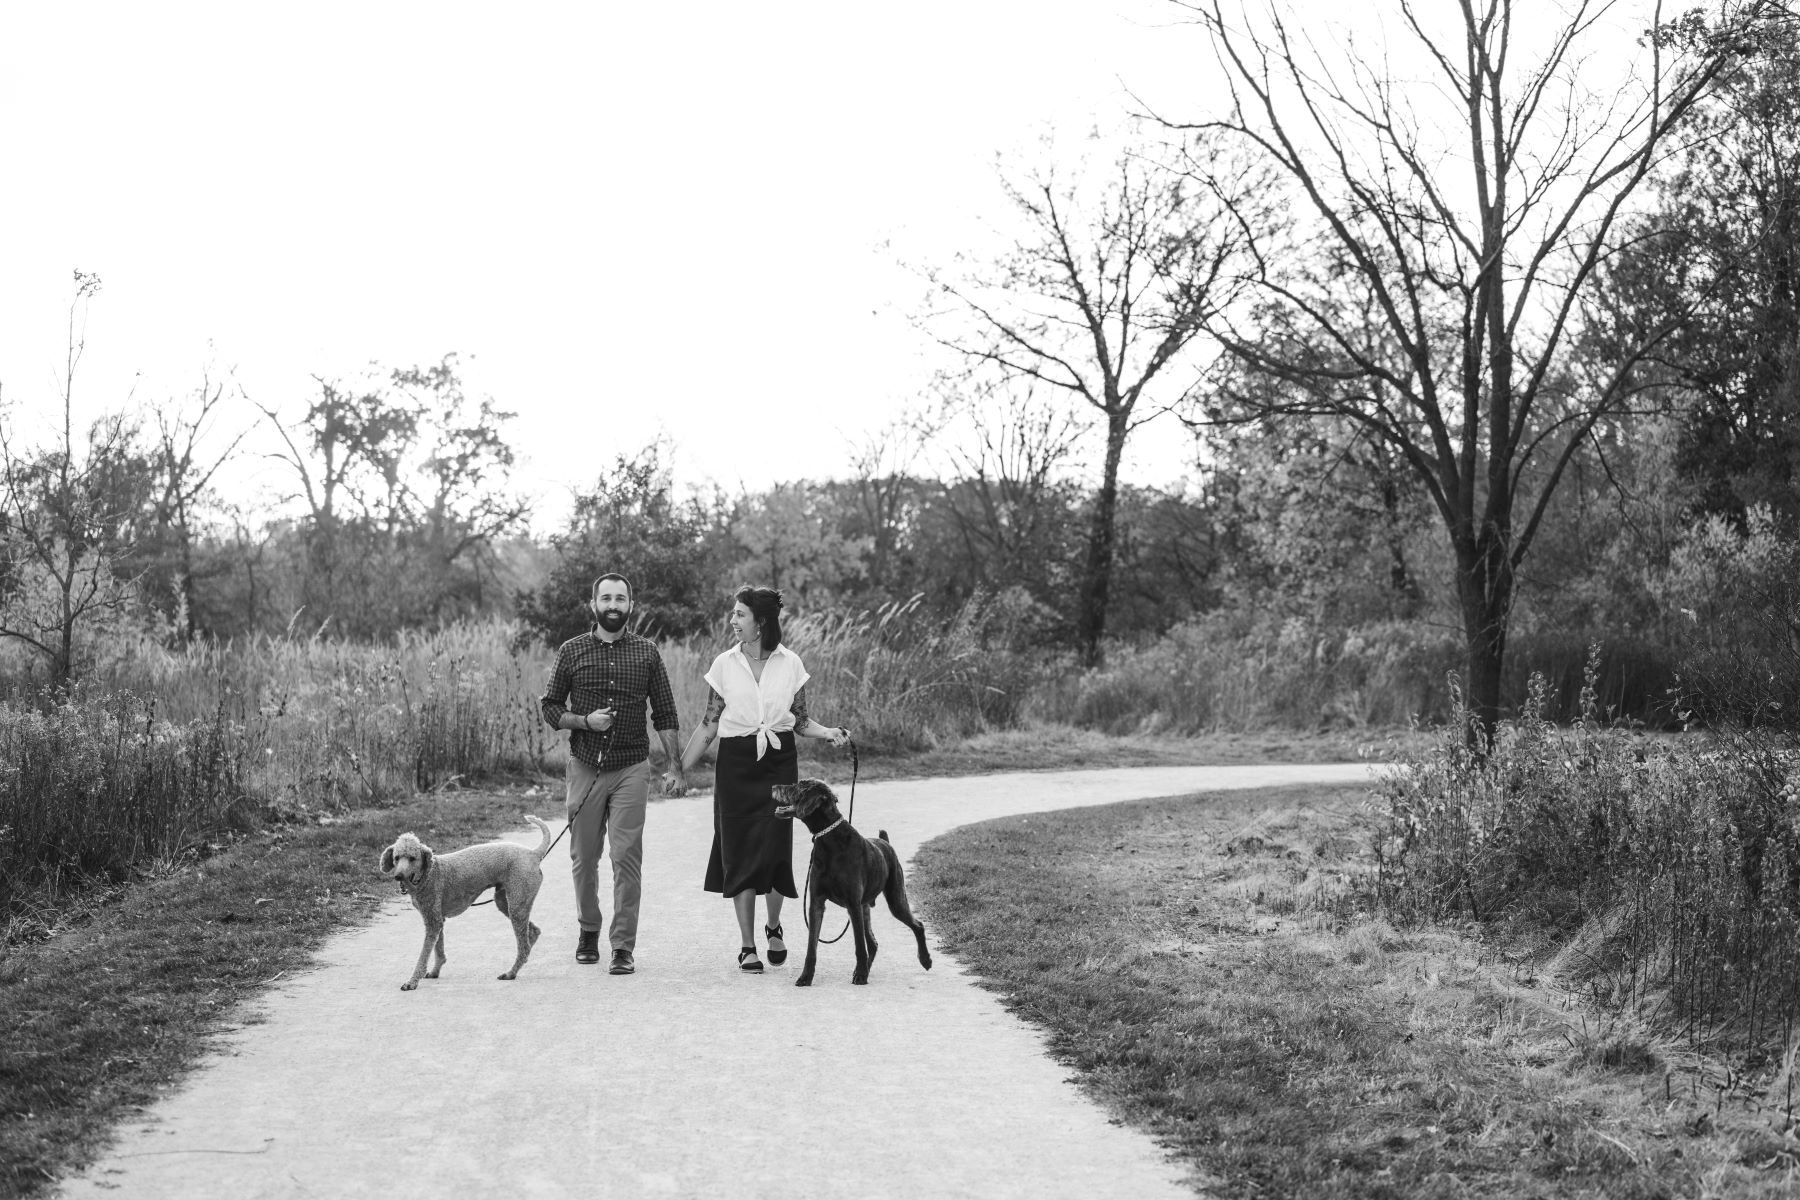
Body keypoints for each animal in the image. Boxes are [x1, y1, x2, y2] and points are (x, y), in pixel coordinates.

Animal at [770, 780, 936, 985]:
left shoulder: (852, 904)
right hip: (865, 908)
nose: (773, 787)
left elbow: (859, 946)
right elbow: (812, 946)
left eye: (798, 786)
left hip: (895, 899)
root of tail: (885, 843)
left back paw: (924, 960)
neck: (829, 841)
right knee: (873, 943)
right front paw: (806, 977)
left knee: (916, 926)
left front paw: (861, 975)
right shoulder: (817, 903)